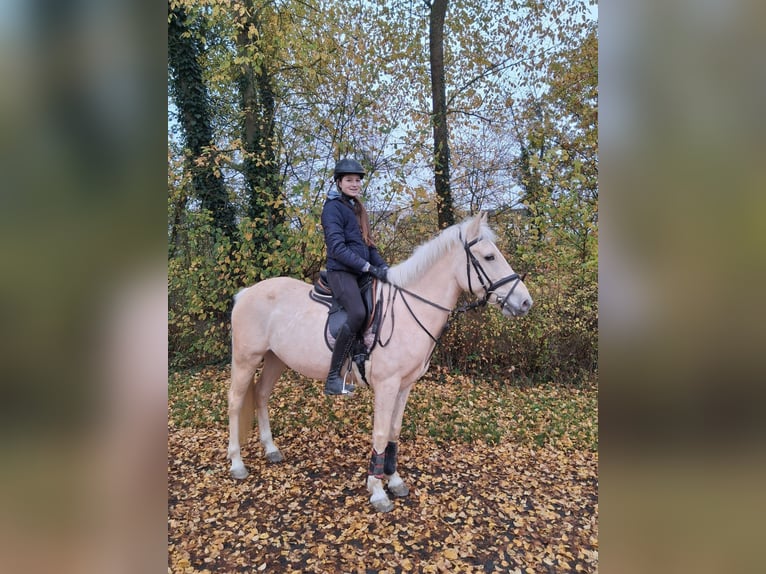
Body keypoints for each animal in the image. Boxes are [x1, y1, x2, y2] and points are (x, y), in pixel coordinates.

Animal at [226, 212, 533, 512]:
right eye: (489, 257)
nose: (525, 302)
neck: (411, 309)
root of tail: (246, 293)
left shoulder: (405, 385)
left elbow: (394, 431)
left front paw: (394, 480)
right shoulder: (386, 385)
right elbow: (381, 433)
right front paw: (377, 491)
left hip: (275, 359)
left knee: (261, 395)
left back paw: (270, 449)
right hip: (246, 359)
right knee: (236, 401)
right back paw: (237, 463)